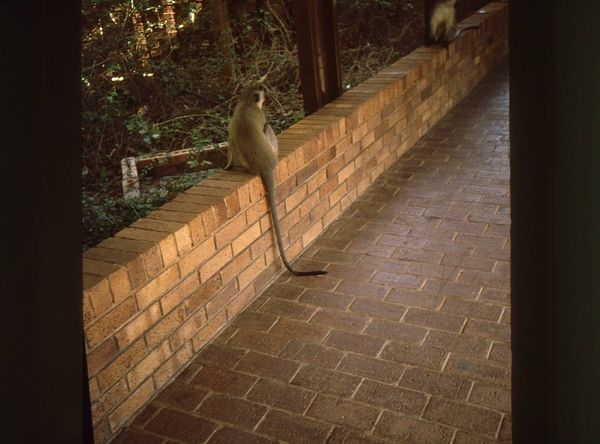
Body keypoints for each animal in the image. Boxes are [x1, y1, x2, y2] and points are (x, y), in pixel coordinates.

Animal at [225, 84, 328, 276]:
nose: (266, 96)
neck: (246, 103)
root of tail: (266, 165)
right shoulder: (259, 114)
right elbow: (263, 123)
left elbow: (230, 140)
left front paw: (227, 166)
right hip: (272, 151)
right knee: (268, 126)